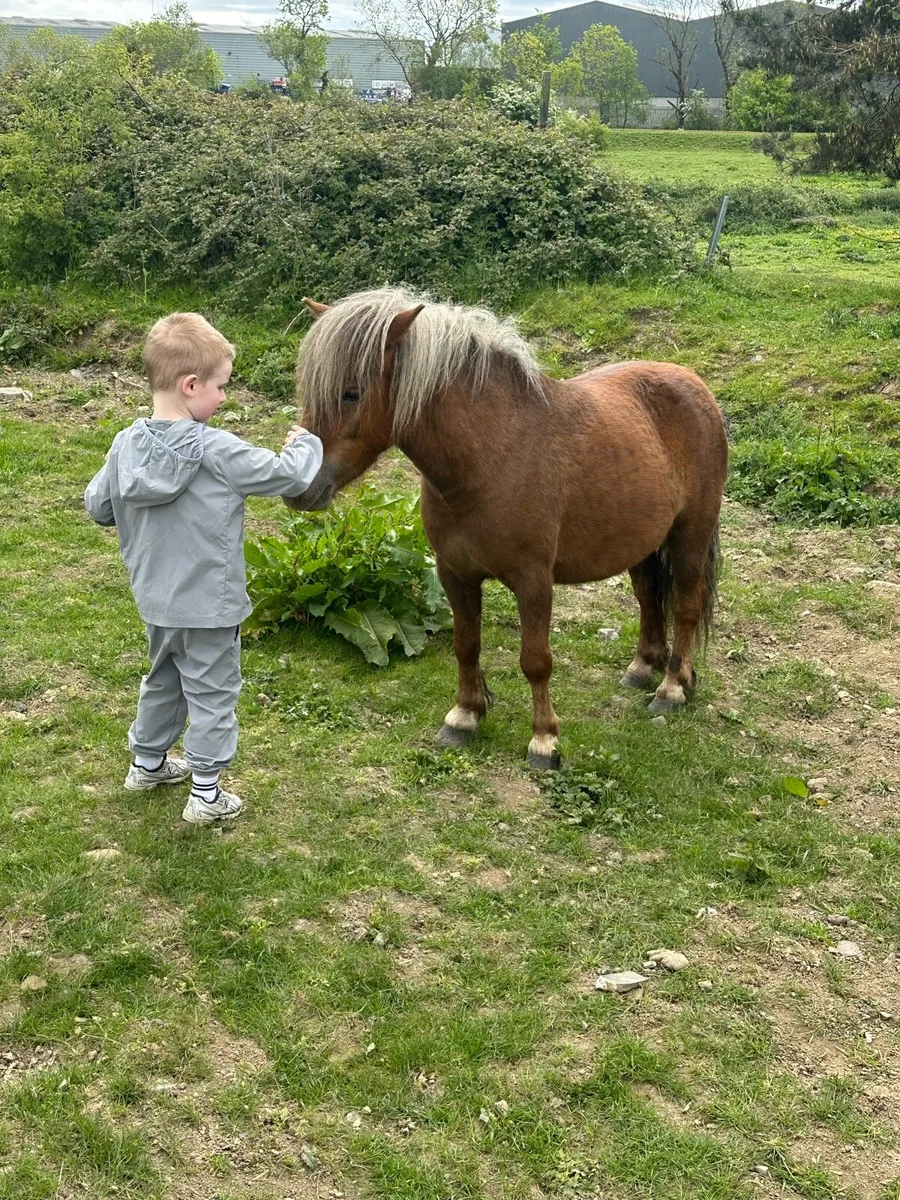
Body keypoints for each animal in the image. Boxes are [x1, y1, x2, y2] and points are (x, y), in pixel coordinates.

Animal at [286, 287, 728, 770]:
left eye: (350, 394)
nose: (300, 486)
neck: (493, 454)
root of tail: (694, 384)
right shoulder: (454, 574)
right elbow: (466, 646)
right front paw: (463, 717)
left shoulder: (533, 581)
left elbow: (535, 660)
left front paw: (545, 741)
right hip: (642, 544)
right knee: (649, 598)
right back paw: (644, 668)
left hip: (691, 533)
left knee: (686, 604)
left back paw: (672, 688)